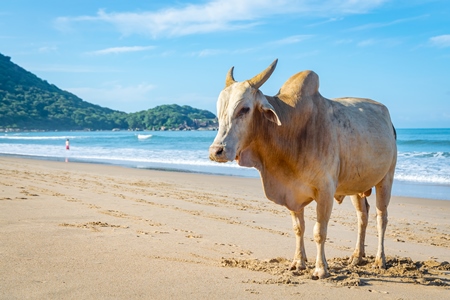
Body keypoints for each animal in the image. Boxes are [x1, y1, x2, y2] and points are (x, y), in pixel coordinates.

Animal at [209, 58, 396, 278]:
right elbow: (299, 228)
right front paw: (299, 262)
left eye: (244, 109)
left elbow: (319, 231)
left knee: (381, 218)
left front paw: (321, 268)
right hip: (357, 186)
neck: (290, 129)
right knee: (363, 216)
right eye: (219, 111)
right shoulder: (292, 192)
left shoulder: (325, 191)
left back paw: (380, 260)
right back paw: (357, 257)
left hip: (386, 179)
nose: (216, 151)